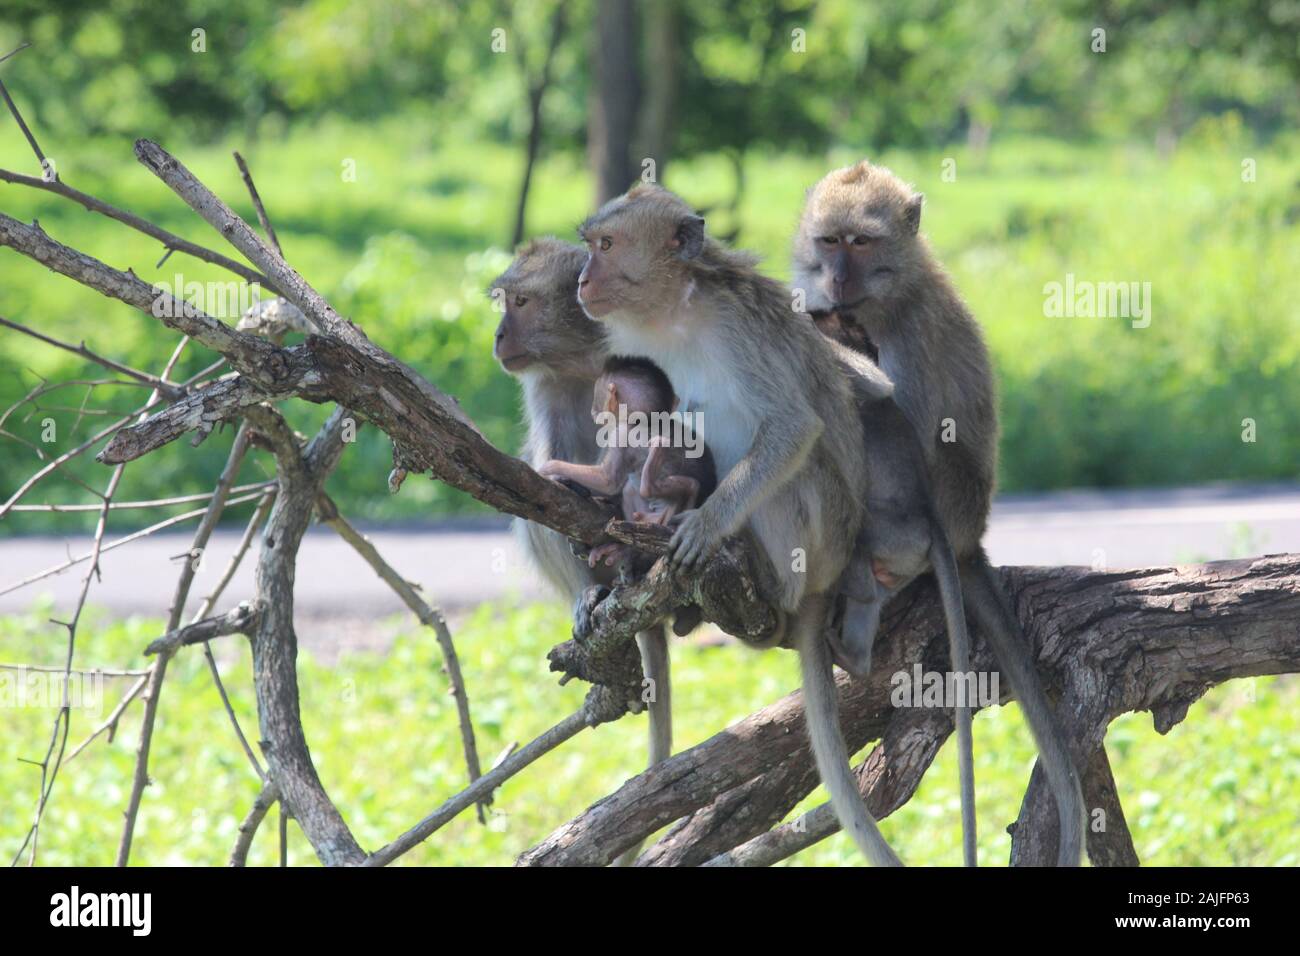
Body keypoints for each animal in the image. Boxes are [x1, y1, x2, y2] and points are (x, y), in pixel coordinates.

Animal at [540, 356, 722, 572]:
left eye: (597, 396)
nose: (593, 411)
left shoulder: (621, 433)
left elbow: (607, 480)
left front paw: (551, 468)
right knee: (630, 491)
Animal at [577, 180, 904, 868]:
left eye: (607, 245)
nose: (582, 278)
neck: (680, 310)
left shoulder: (739, 331)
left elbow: (794, 426)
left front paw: (704, 525)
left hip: (820, 535)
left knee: (796, 470)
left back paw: (759, 576)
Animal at [790, 162, 1086, 868]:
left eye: (861, 243)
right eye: (829, 240)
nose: (835, 279)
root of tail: (971, 535)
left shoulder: (905, 336)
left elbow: (892, 413)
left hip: (943, 506)